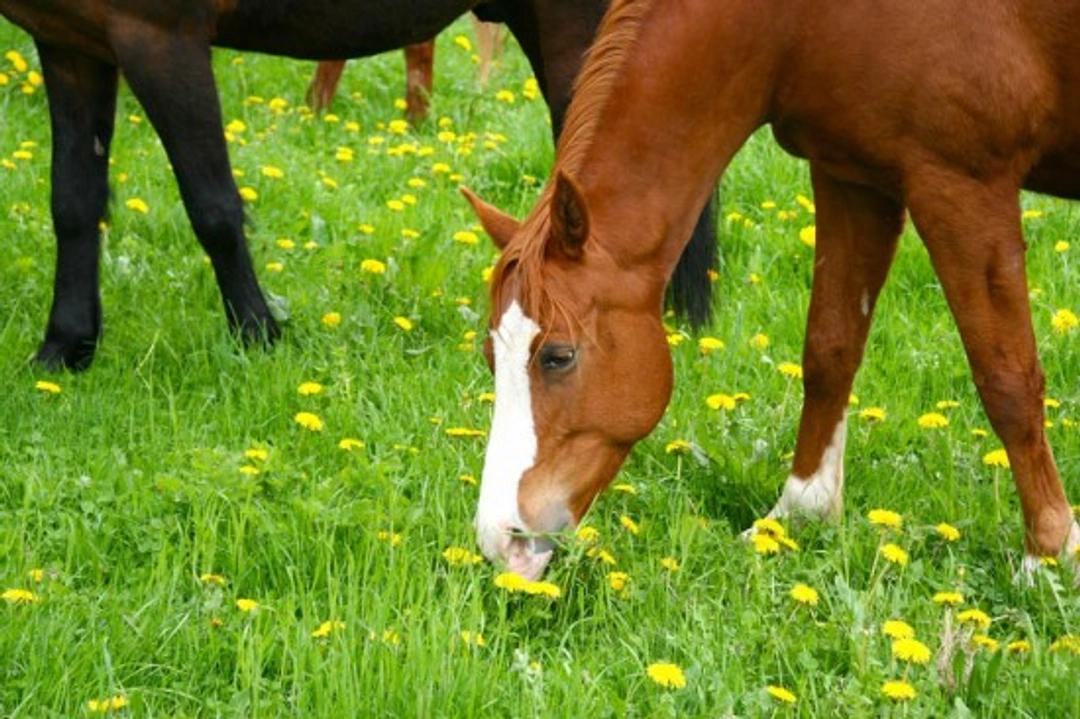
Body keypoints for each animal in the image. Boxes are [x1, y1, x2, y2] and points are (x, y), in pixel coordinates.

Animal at [1, 0, 717, 371]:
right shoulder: (72, 47)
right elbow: (73, 203)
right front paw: (65, 347)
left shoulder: (158, 41)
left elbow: (213, 208)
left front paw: (258, 337)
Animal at [463, 0, 1080, 581]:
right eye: (491, 356)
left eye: (558, 356)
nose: (502, 541)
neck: (797, 22)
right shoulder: (851, 179)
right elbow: (829, 351)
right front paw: (799, 514)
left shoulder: (962, 186)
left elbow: (1007, 379)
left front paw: (1047, 553)